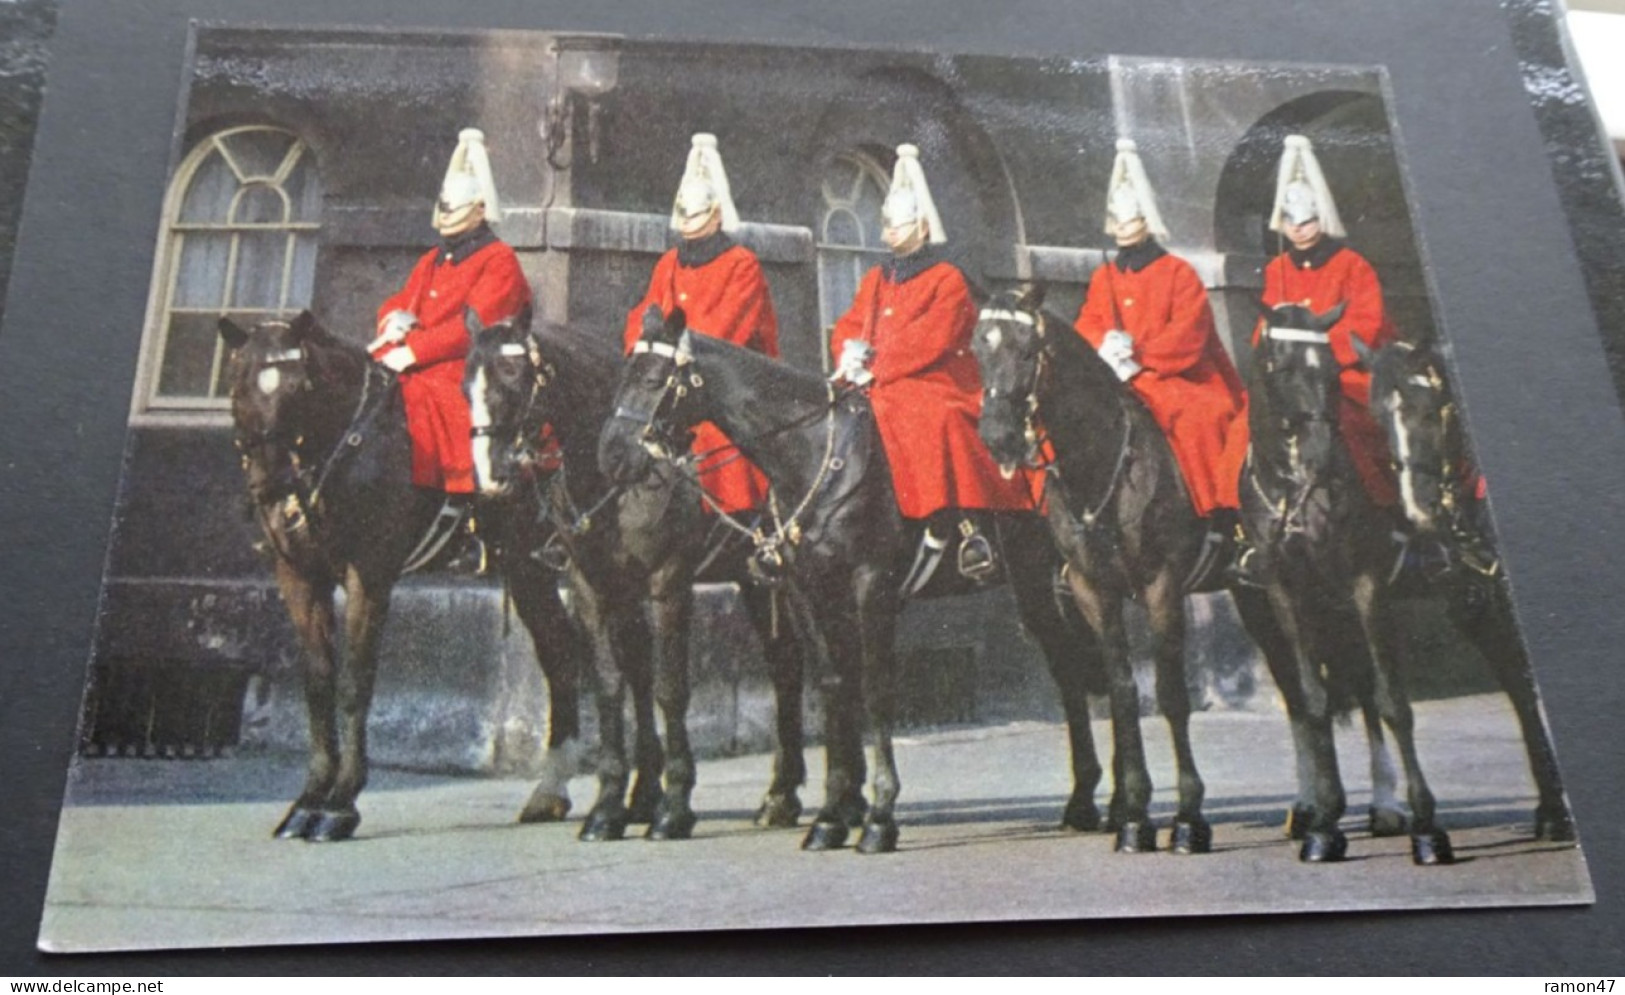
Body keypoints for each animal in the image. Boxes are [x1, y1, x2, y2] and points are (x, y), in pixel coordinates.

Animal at [216, 308, 585, 838]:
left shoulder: (369, 575)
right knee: (560, 650)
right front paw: (309, 799)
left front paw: (340, 803)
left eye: (300, 385)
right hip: (524, 567)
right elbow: (318, 683)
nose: (272, 488)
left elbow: (355, 683)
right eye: (237, 383)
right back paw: (552, 791)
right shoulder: (299, 578)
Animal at [464, 308, 806, 838]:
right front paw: (616, 803)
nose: (490, 473)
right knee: (785, 665)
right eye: (467, 385)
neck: (614, 484)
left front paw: (674, 803)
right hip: (758, 580)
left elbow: (667, 686)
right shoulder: (597, 587)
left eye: (514, 374)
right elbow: (616, 683)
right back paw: (781, 796)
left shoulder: (668, 585)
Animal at [604, 305, 1111, 851]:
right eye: (622, 374)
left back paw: (1088, 800)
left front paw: (880, 815)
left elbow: (875, 688)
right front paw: (831, 814)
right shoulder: (808, 589)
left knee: (1071, 670)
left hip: (1045, 580)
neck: (812, 454)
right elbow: (833, 685)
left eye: (653, 379)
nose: (612, 455)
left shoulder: (871, 586)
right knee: (1069, 670)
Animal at [1235, 302, 1456, 864]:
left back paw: (1386, 805)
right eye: (1282, 368)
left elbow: (1391, 701)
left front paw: (1426, 822)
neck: (1297, 491)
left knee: (1368, 690)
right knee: (1308, 697)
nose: (1316, 455)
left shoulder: (1366, 585)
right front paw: (1325, 822)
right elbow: (1313, 701)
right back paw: (1315, 806)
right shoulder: (1286, 595)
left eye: (1334, 372)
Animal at [1371, 341, 1573, 838]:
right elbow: (1521, 694)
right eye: (1379, 418)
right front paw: (1551, 810)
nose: (1417, 509)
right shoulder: (1480, 612)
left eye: (1428, 411)